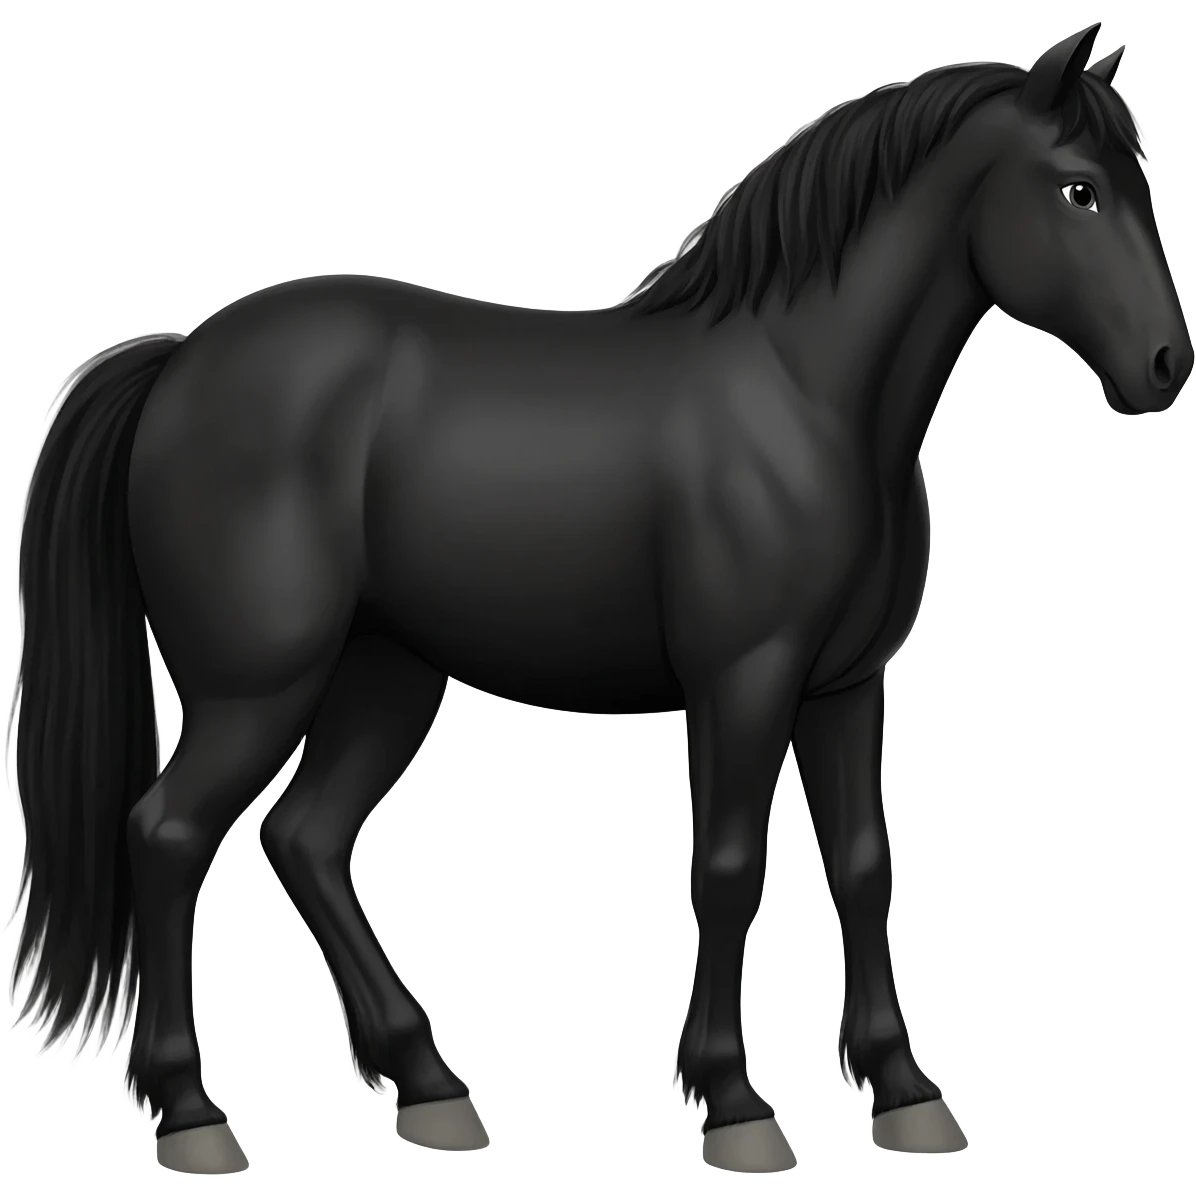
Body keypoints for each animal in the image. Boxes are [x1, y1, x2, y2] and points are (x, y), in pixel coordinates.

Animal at [8, 22, 1189, 1174]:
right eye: (1080, 188)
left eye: (1136, 178)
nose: (1165, 366)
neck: (805, 397)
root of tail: (180, 363)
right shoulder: (743, 680)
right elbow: (727, 869)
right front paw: (733, 1105)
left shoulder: (846, 686)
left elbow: (864, 868)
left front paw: (903, 1093)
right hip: (257, 686)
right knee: (168, 835)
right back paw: (191, 1114)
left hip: (385, 674)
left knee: (303, 838)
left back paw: (429, 1087)